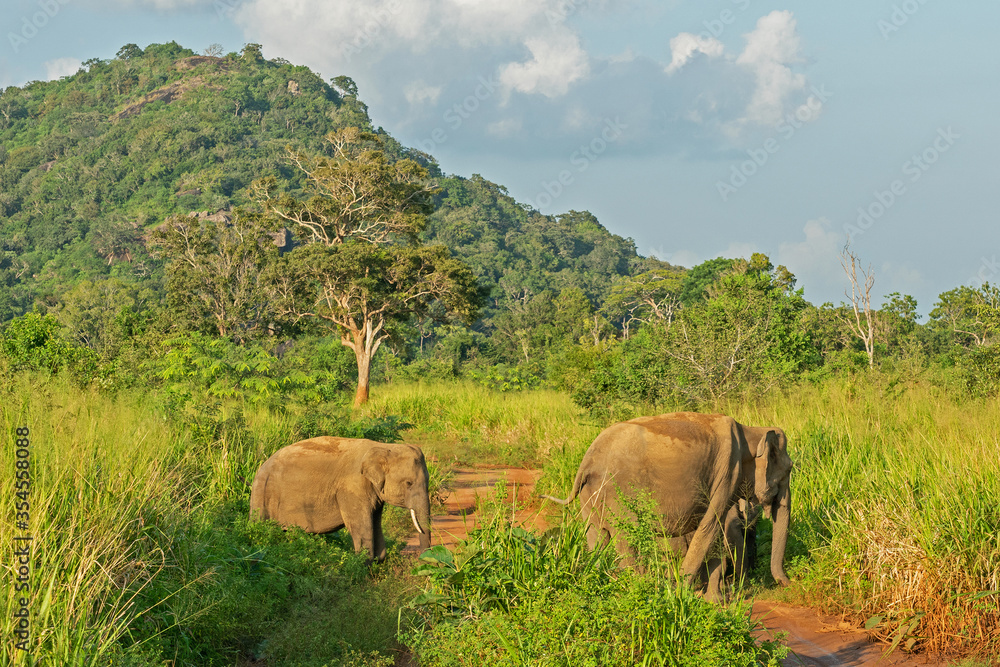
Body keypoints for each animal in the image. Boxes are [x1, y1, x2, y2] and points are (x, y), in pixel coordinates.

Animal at [249, 437, 431, 562]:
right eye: (409, 483)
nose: (424, 561)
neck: (384, 447)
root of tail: (262, 465)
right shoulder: (352, 489)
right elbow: (361, 524)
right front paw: (362, 564)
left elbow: (375, 521)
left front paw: (378, 561)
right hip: (262, 494)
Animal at [545, 412, 792, 601]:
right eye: (789, 469)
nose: (788, 582)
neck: (751, 431)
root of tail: (587, 460)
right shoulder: (728, 473)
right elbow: (709, 527)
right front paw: (679, 595)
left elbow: (714, 531)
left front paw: (715, 600)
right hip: (618, 490)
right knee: (626, 540)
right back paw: (637, 591)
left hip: (590, 493)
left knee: (596, 538)